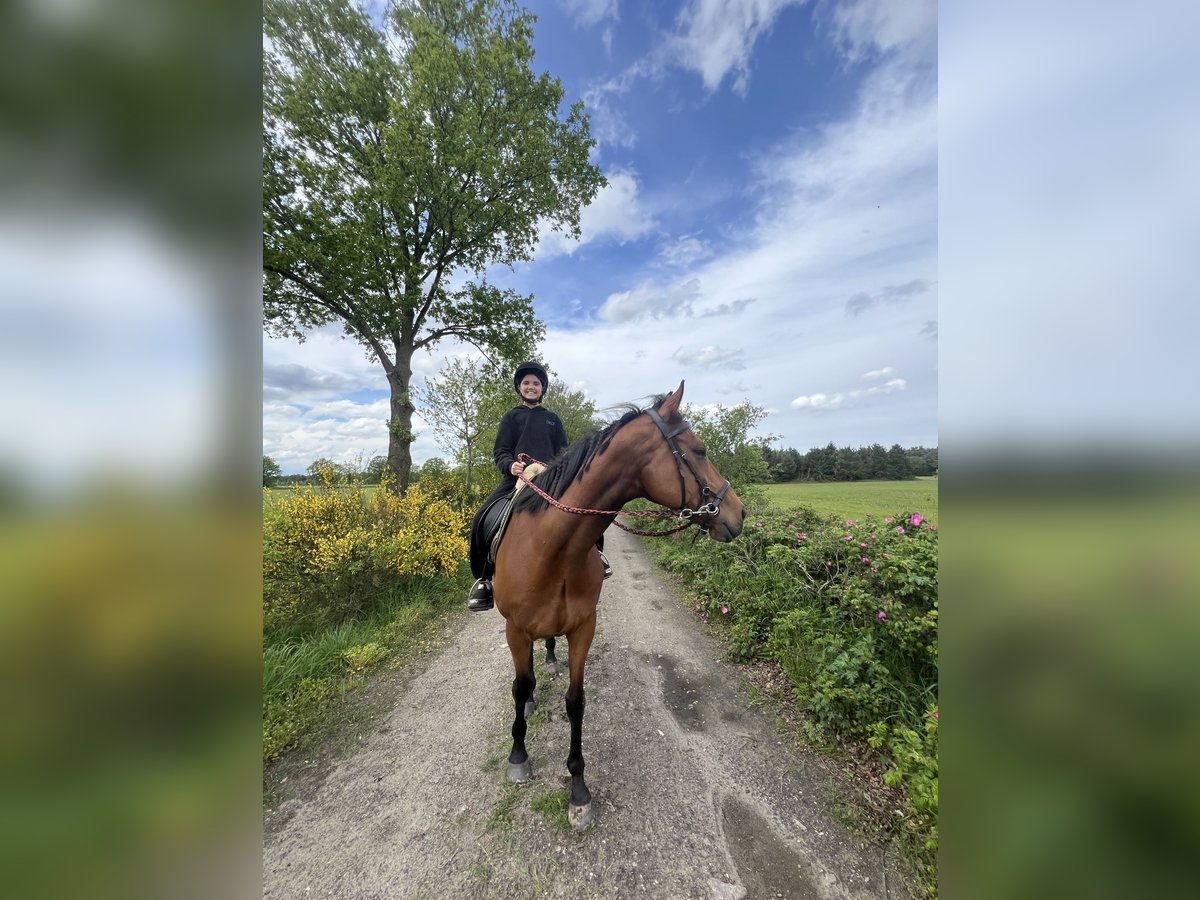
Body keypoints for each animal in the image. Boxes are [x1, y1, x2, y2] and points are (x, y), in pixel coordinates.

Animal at [494, 381, 739, 830]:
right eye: (699, 451)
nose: (739, 512)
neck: (552, 548)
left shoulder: (583, 627)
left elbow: (576, 702)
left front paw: (578, 790)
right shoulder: (515, 628)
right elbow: (519, 687)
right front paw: (518, 756)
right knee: (525, 679)